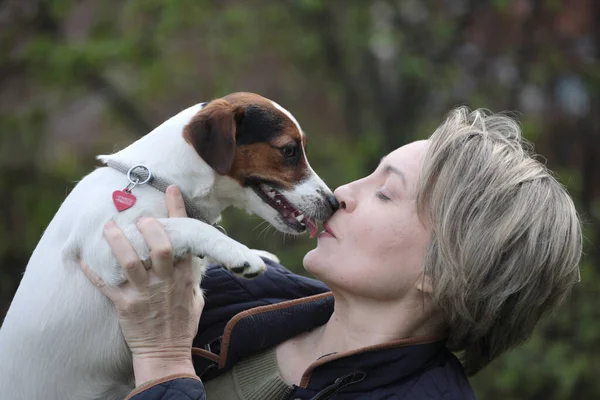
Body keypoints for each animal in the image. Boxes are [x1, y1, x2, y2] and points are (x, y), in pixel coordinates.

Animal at [0, 93, 338, 400]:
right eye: (289, 150)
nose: (334, 203)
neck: (159, 181)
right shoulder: (106, 251)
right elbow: (189, 225)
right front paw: (239, 252)